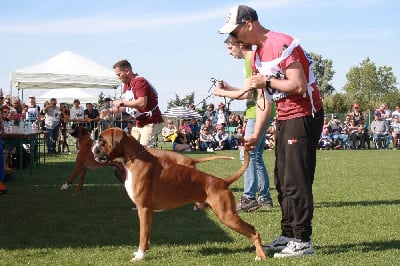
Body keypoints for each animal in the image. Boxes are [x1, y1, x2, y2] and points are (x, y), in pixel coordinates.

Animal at [91, 128, 266, 260]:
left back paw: (261, 256)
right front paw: (144, 251)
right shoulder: (148, 212)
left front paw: (140, 256)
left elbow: (142, 235)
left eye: (101, 140)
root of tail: (222, 182)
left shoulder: (143, 209)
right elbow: (146, 235)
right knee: (252, 229)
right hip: (228, 215)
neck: (135, 161)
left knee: (254, 232)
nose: (93, 147)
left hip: (227, 215)